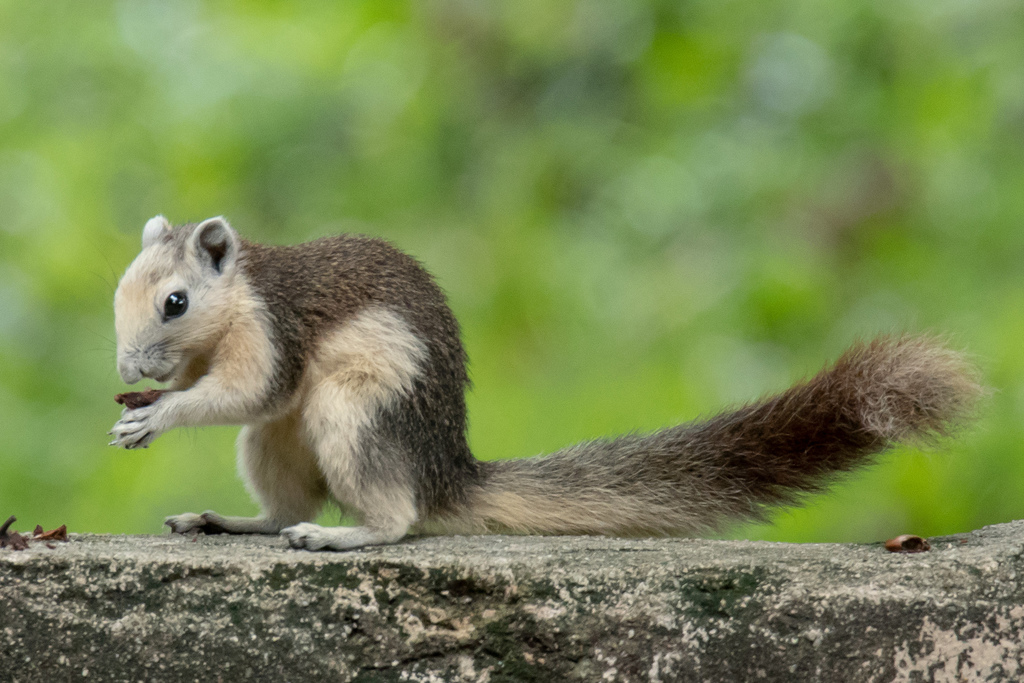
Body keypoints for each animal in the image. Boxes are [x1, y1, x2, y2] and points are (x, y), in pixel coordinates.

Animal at [109, 215, 983, 551]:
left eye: (174, 301)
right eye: (119, 290)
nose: (126, 367)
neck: (237, 297)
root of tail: (444, 470)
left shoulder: (273, 333)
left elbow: (245, 390)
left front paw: (161, 411)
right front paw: (147, 399)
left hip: (354, 413)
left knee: (396, 519)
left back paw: (345, 534)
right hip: (277, 444)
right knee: (282, 501)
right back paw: (233, 520)